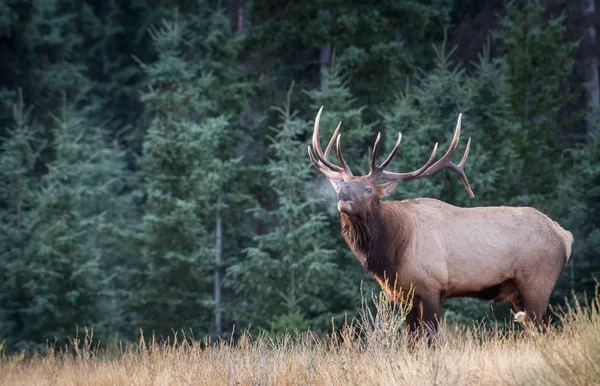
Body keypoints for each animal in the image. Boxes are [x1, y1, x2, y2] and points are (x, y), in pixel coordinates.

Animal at [308, 106, 576, 334]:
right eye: (341, 185)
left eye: (368, 189)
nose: (343, 196)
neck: (393, 249)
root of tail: (566, 236)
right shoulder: (405, 296)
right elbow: (411, 341)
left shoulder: (431, 286)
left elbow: (431, 340)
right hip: (520, 292)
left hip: (537, 282)